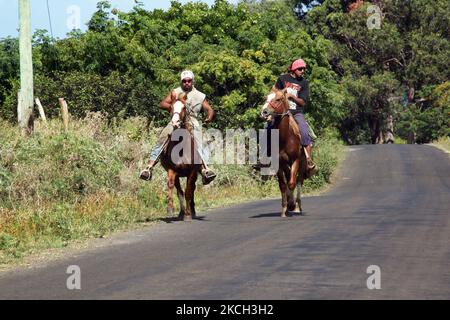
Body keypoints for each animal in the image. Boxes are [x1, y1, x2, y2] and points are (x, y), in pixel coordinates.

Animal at [262, 90, 308, 218]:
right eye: (266, 98)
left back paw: (298, 206)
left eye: (278, 99)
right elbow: (283, 185)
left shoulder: (295, 160)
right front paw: (284, 208)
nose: (264, 112)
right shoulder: (278, 163)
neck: (284, 138)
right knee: (288, 178)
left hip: (303, 163)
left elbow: (292, 183)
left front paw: (292, 205)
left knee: (299, 181)